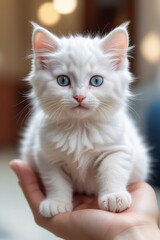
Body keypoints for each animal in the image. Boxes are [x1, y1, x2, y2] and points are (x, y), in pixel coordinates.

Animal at [20, 23, 150, 218]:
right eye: (63, 80)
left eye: (96, 81)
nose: (79, 97)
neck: (79, 129)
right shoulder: (47, 156)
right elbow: (56, 182)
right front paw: (56, 202)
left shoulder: (118, 149)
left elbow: (113, 171)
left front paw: (114, 196)